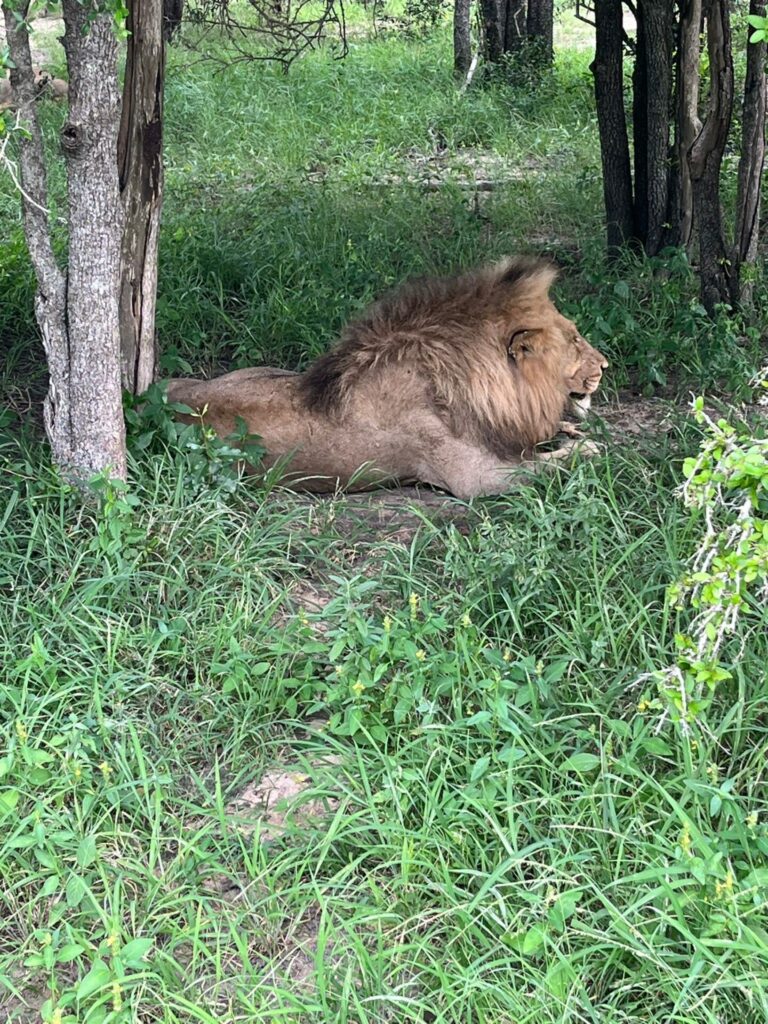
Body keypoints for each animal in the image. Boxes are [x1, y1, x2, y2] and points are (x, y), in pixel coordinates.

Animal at [166, 257, 608, 499]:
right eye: (575, 339)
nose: (604, 365)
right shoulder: (476, 478)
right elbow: (547, 464)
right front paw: (586, 448)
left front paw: (566, 430)